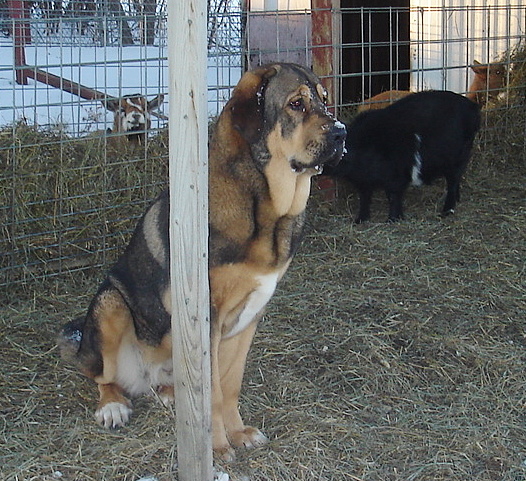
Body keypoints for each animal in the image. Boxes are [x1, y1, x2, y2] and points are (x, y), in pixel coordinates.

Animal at [59, 62, 348, 460]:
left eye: (323, 99)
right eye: (296, 104)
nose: (342, 132)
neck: (264, 205)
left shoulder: (250, 317)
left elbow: (229, 385)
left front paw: (239, 433)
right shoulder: (205, 316)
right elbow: (210, 391)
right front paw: (217, 448)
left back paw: (169, 393)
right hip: (110, 303)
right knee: (101, 374)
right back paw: (112, 405)